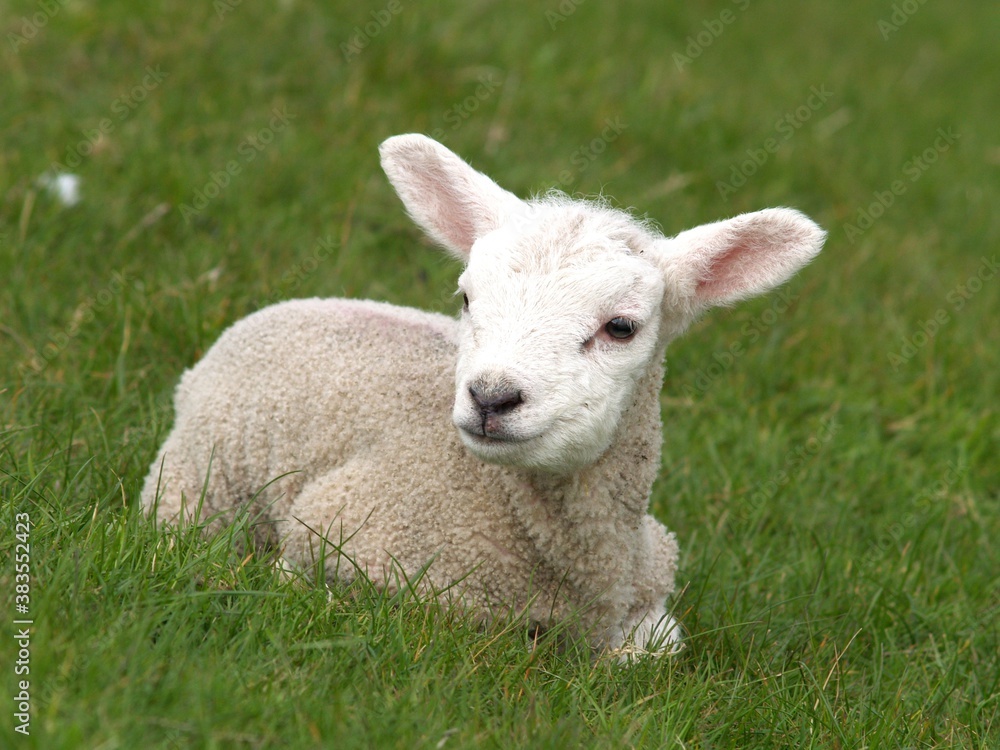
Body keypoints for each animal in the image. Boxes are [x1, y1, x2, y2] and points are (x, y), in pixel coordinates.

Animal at [142, 133, 825, 657]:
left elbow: (653, 650)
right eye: (467, 297)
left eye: (621, 327)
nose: (492, 397)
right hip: (197, 479)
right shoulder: (337, 531)